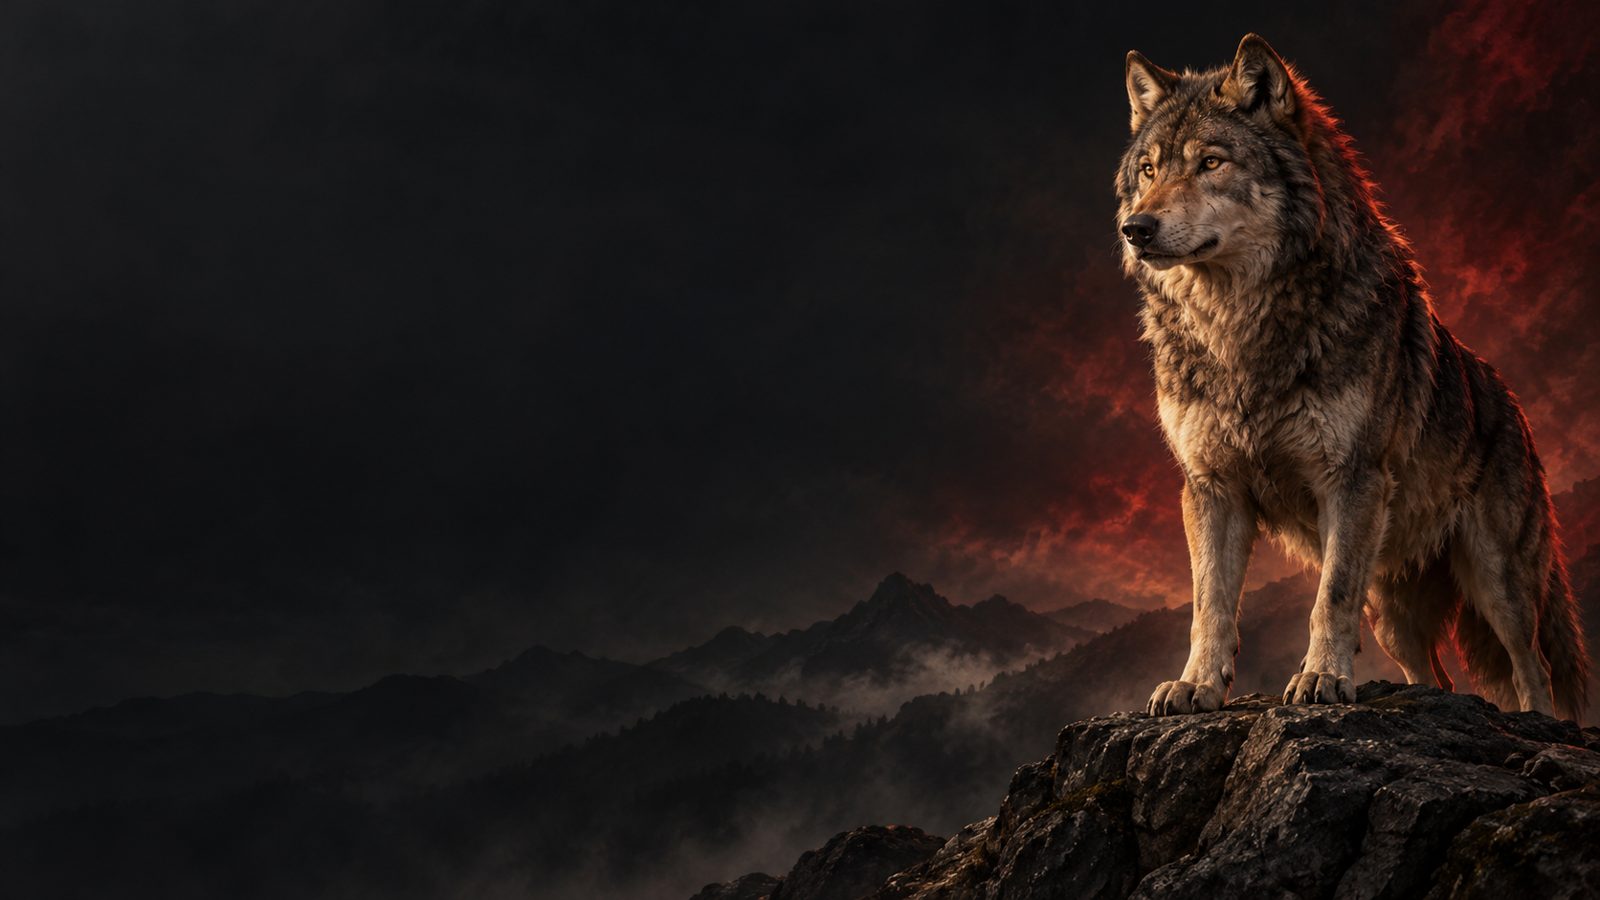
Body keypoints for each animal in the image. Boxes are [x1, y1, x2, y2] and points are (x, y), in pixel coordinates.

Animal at [1117, 34, 1589, 720]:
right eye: (1149, 170)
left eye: (1210, 162)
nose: (1137, 229)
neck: (1239, 330)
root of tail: (1516, 408)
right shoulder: (1211, 487)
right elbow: (1210, 607)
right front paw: (1195, 685)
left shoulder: (1350, 479)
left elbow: (1328, 598)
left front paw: (1320, 679)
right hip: (1392, 608)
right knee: (1437, 677)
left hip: (1496, 580)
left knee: (1533, 669)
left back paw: (1533, 720)